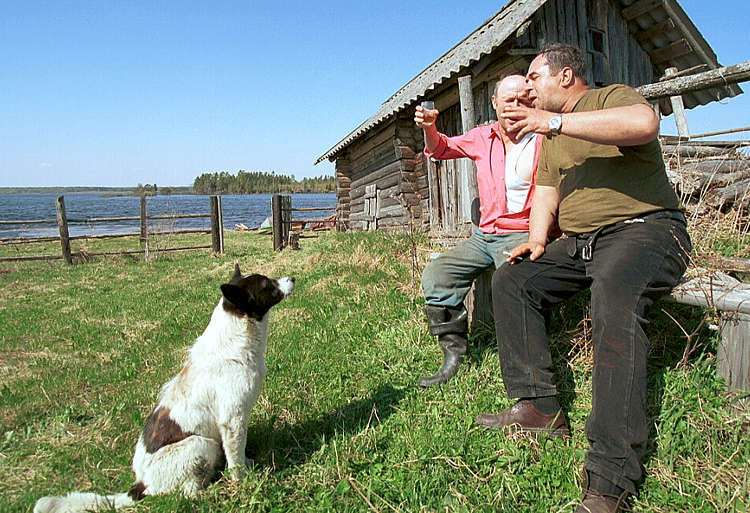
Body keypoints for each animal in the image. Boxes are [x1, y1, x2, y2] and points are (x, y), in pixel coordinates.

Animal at [35, 264, 296, 512]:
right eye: (267, 285)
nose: (292, 278)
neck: (235, 342)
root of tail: (141, 485)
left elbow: (240, 453)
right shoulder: (232, 419)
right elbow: (235, 456)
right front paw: (242, 481)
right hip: (201, 444)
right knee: (188, 491)